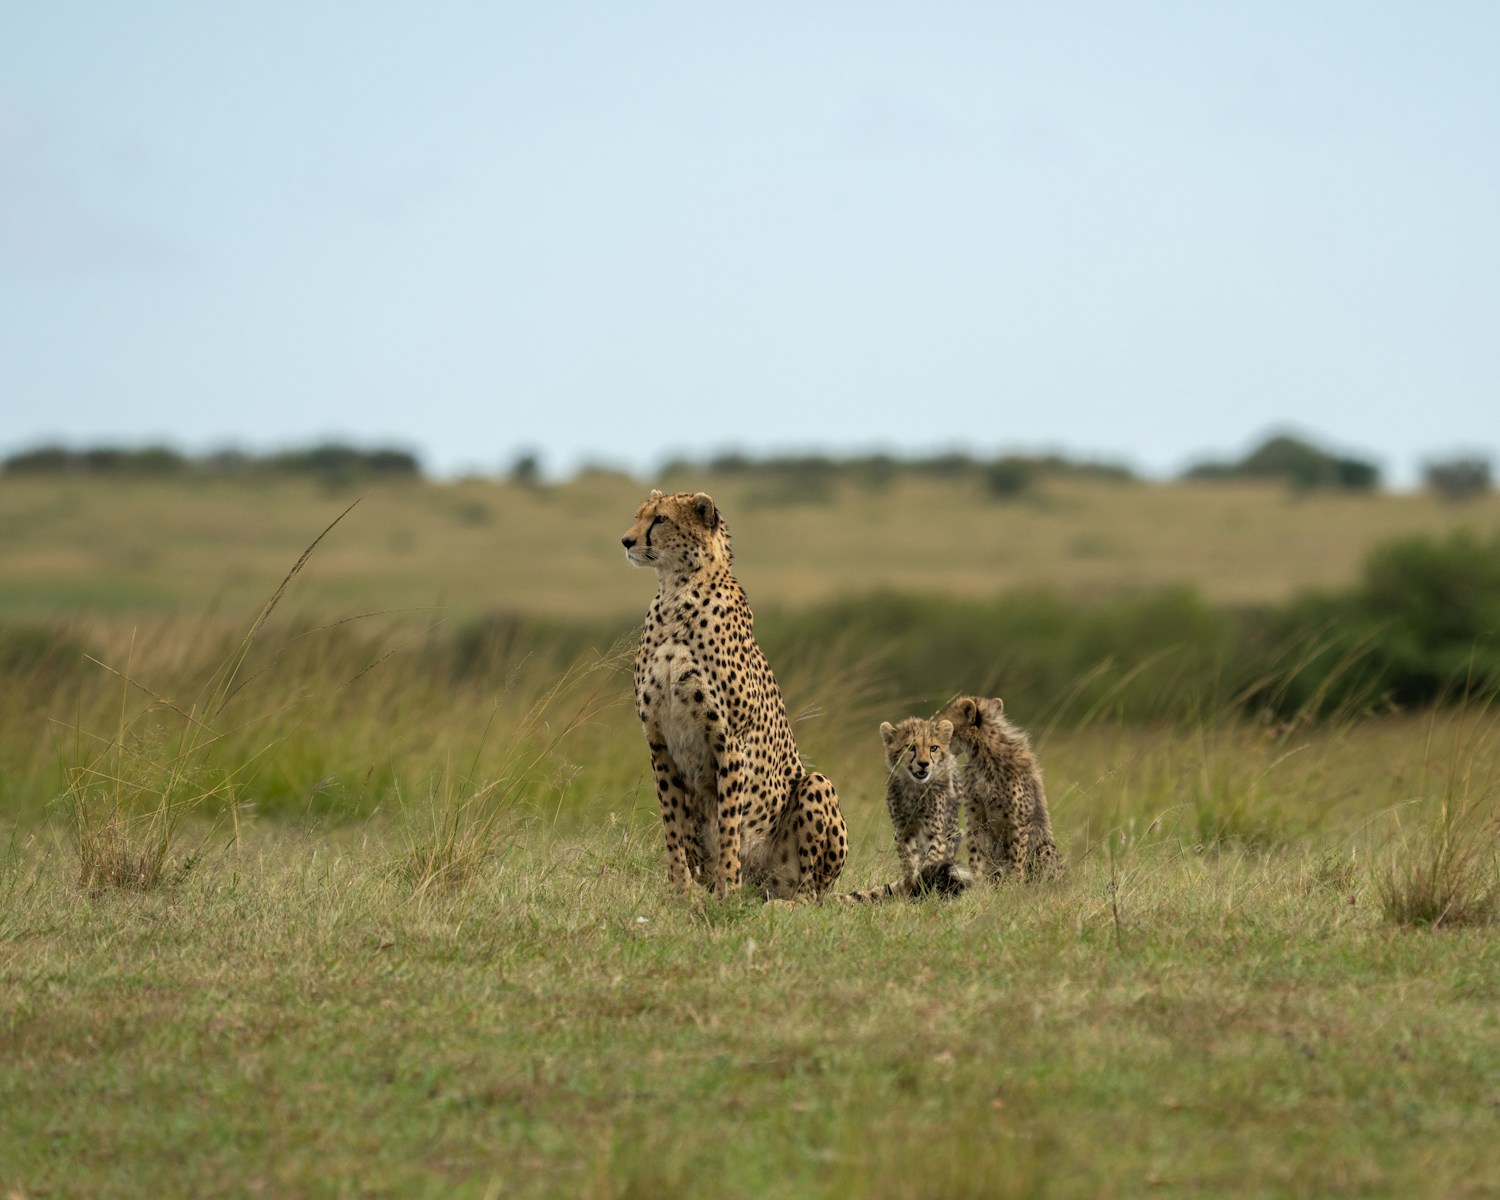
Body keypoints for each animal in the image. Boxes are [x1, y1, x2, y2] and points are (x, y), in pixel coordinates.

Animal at [622, 489, 847, 901]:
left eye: (661, 519)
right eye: (638, 516)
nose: (627, 541)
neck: (677, 593)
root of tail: (764, 886)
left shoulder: (729, 739)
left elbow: (729, 822)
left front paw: (727, 890)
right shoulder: (658, 740)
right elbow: (671, 823)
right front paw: (680, 891)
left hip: (816, 786)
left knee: (808, 894)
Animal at [837, 716, 973, 903]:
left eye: (933, 748)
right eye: (910, 747)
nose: (923, 764)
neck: (915, 787)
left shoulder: (936, 832)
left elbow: (932, 858)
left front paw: (924, 883)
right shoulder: (904, 831)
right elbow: (909, 862)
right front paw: (914, 884)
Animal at [938, 695, 1063, 882]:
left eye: (946, 726)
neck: (982, 755)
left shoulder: (1018, 822)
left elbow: (1017, 856)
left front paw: (1015, 884)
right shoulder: (976, 819)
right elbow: (976, 854)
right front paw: (978, 884)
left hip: (1045, 849)